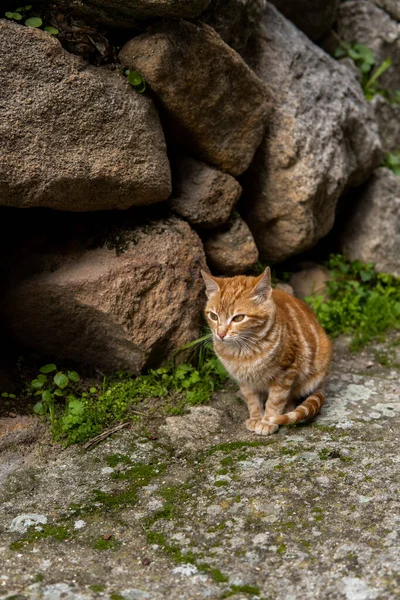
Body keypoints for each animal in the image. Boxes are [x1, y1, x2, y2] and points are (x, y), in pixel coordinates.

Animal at [202, 270, 332, 434]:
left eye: (238, 318)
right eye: (213, 316)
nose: (220, 334)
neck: (243, 352)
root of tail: (323, 382)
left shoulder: (286, 372)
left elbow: (276, 400)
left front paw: (267, 421)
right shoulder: (244, 380)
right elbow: (252, 400)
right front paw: (256, 418)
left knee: (292, 397)